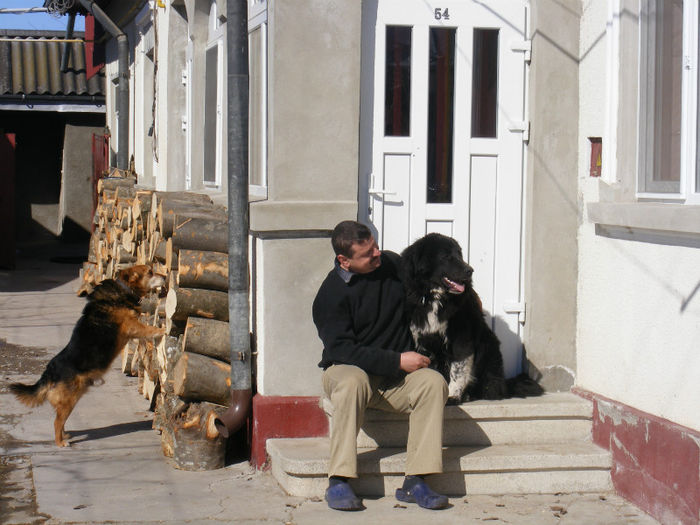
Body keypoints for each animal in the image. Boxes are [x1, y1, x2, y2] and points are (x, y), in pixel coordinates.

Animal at [9, 266, 165, 446]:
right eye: (150, 272)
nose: (165, 276)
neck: (123, 288)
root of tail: (49, 372)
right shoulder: (133, 326)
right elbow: (149, 330)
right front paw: (163, 330)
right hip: (69, 399)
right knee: (57, 422)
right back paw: (60, 443)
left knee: (60, 421)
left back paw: (65, 436)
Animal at [402, 231, 544, 404]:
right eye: (446, 256)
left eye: (459, 254)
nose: (470, 270)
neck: (434, 297)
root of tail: (505, 384)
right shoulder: (420, 335)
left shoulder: (461, 336)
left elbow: (458, 368)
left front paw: (452, 396)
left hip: (488, 347)